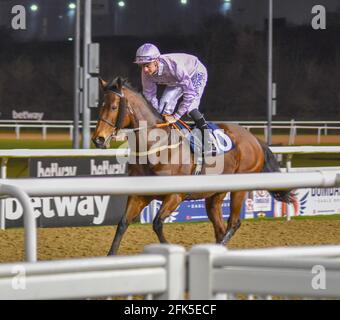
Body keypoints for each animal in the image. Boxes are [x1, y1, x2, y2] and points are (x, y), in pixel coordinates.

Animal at [92, 77, 292, 255]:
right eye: (101, 106)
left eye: (114, 107)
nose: (98, 139)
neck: (156, 147)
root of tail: (255, 140)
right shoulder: (139, 194)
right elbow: (122, 223)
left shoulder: (175, 195)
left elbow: (157, 223)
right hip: (215, 195)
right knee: (220, 228)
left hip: (240, 189)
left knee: (233, 223)